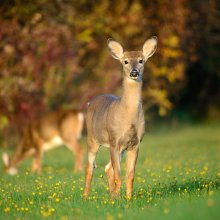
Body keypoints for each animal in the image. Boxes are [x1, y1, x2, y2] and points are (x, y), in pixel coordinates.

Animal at [83, 36, 157, 198]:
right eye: (125, 61)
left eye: (141, 60)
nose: (134, 73)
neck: (127, 117)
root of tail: (90, 102)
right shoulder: (114, 140)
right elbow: (119, 175)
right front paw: (117, 199)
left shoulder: (135, 143)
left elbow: (130, 176)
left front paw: (127, 199)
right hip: (92, 139)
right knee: (90, 168)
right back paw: (85, 197)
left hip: (120, 148)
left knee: (107, 167)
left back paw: (112, 195)